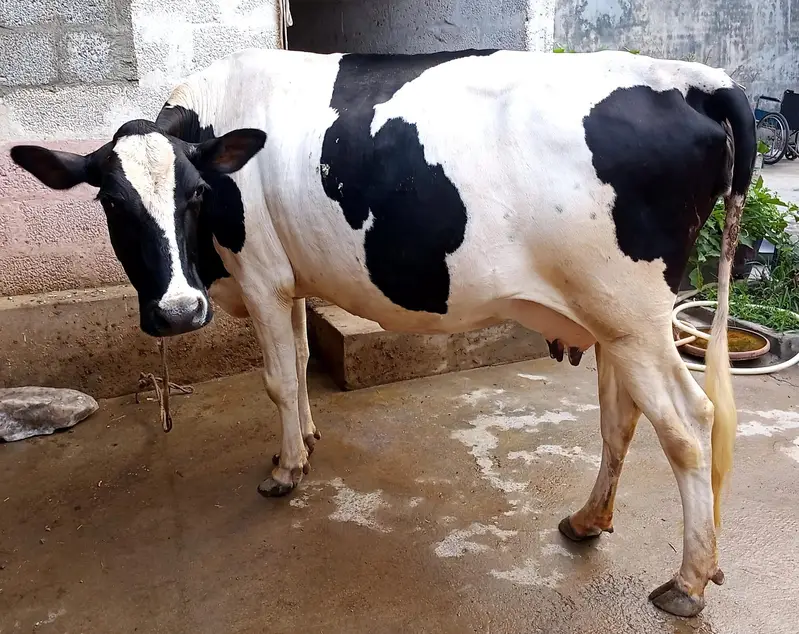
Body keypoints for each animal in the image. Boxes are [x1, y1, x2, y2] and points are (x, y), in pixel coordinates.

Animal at [11, 47, 756, 617]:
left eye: (196, 193)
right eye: (112, 202)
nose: (177, 311)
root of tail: (690, 76)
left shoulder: (260, 274)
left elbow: (277, 379)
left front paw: (286, 470)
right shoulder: (290, 280)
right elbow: (302, 358)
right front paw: (307, 439)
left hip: (631, 313)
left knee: (689, 424)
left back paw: (688, 582)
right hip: (613, 321)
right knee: (620, 420)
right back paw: (586, 521)